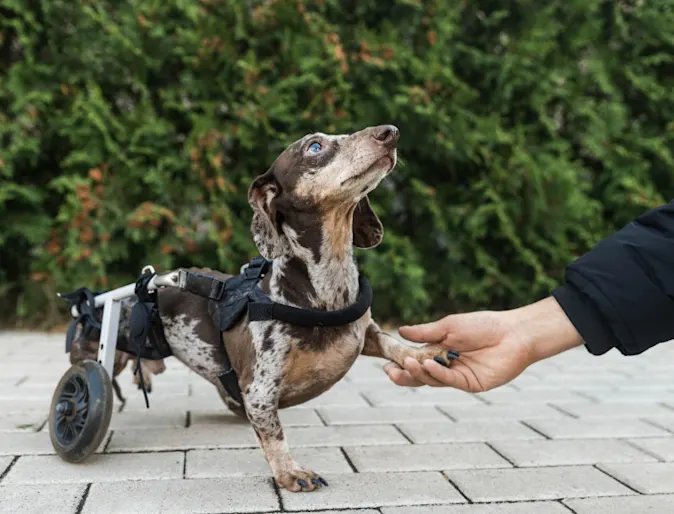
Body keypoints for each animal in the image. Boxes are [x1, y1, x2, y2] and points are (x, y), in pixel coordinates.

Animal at [84, 123, 454, 488]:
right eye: (314, 147)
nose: (391, 131)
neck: (324, 292)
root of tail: (145, 284)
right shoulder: (261, 389)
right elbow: (274, 434)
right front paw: (290, 471)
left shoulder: (365, 333)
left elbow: (394, 344)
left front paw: (425, 354)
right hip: (106, 351)